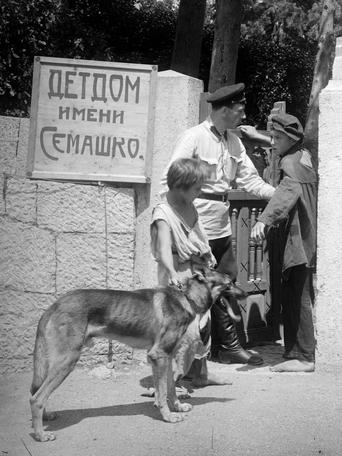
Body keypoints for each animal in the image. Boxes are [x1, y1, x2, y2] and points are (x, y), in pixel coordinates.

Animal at [29, 268, 246, 442]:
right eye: (230, 283)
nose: (246, 293)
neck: (186, 298)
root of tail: (53, 305)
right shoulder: (159, 355)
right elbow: (161, 392)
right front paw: (168, 417)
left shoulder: (166, 357)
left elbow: (170, 389)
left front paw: (176, 407)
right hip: (67, 360)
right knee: (36, 399)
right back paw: (40, 435)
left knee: (37, 391)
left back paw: (45, 418)